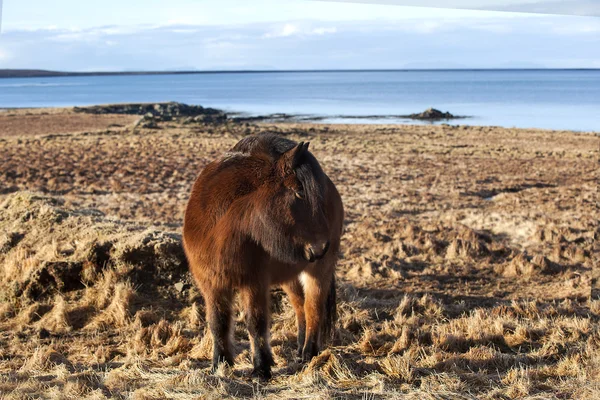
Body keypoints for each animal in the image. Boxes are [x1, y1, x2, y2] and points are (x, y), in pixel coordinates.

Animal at [182, 133, 342, 380]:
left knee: (313, 308)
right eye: (299, 192)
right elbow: (218, 322)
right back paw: (299, 350)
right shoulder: (212, 284)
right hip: (291, 276)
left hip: (317, 272)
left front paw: (261, 368)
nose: (321, 247)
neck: (217, 228)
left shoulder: (254, 283)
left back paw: (309, 354)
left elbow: (255, 323)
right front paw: (219, 364)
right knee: (300, 307)